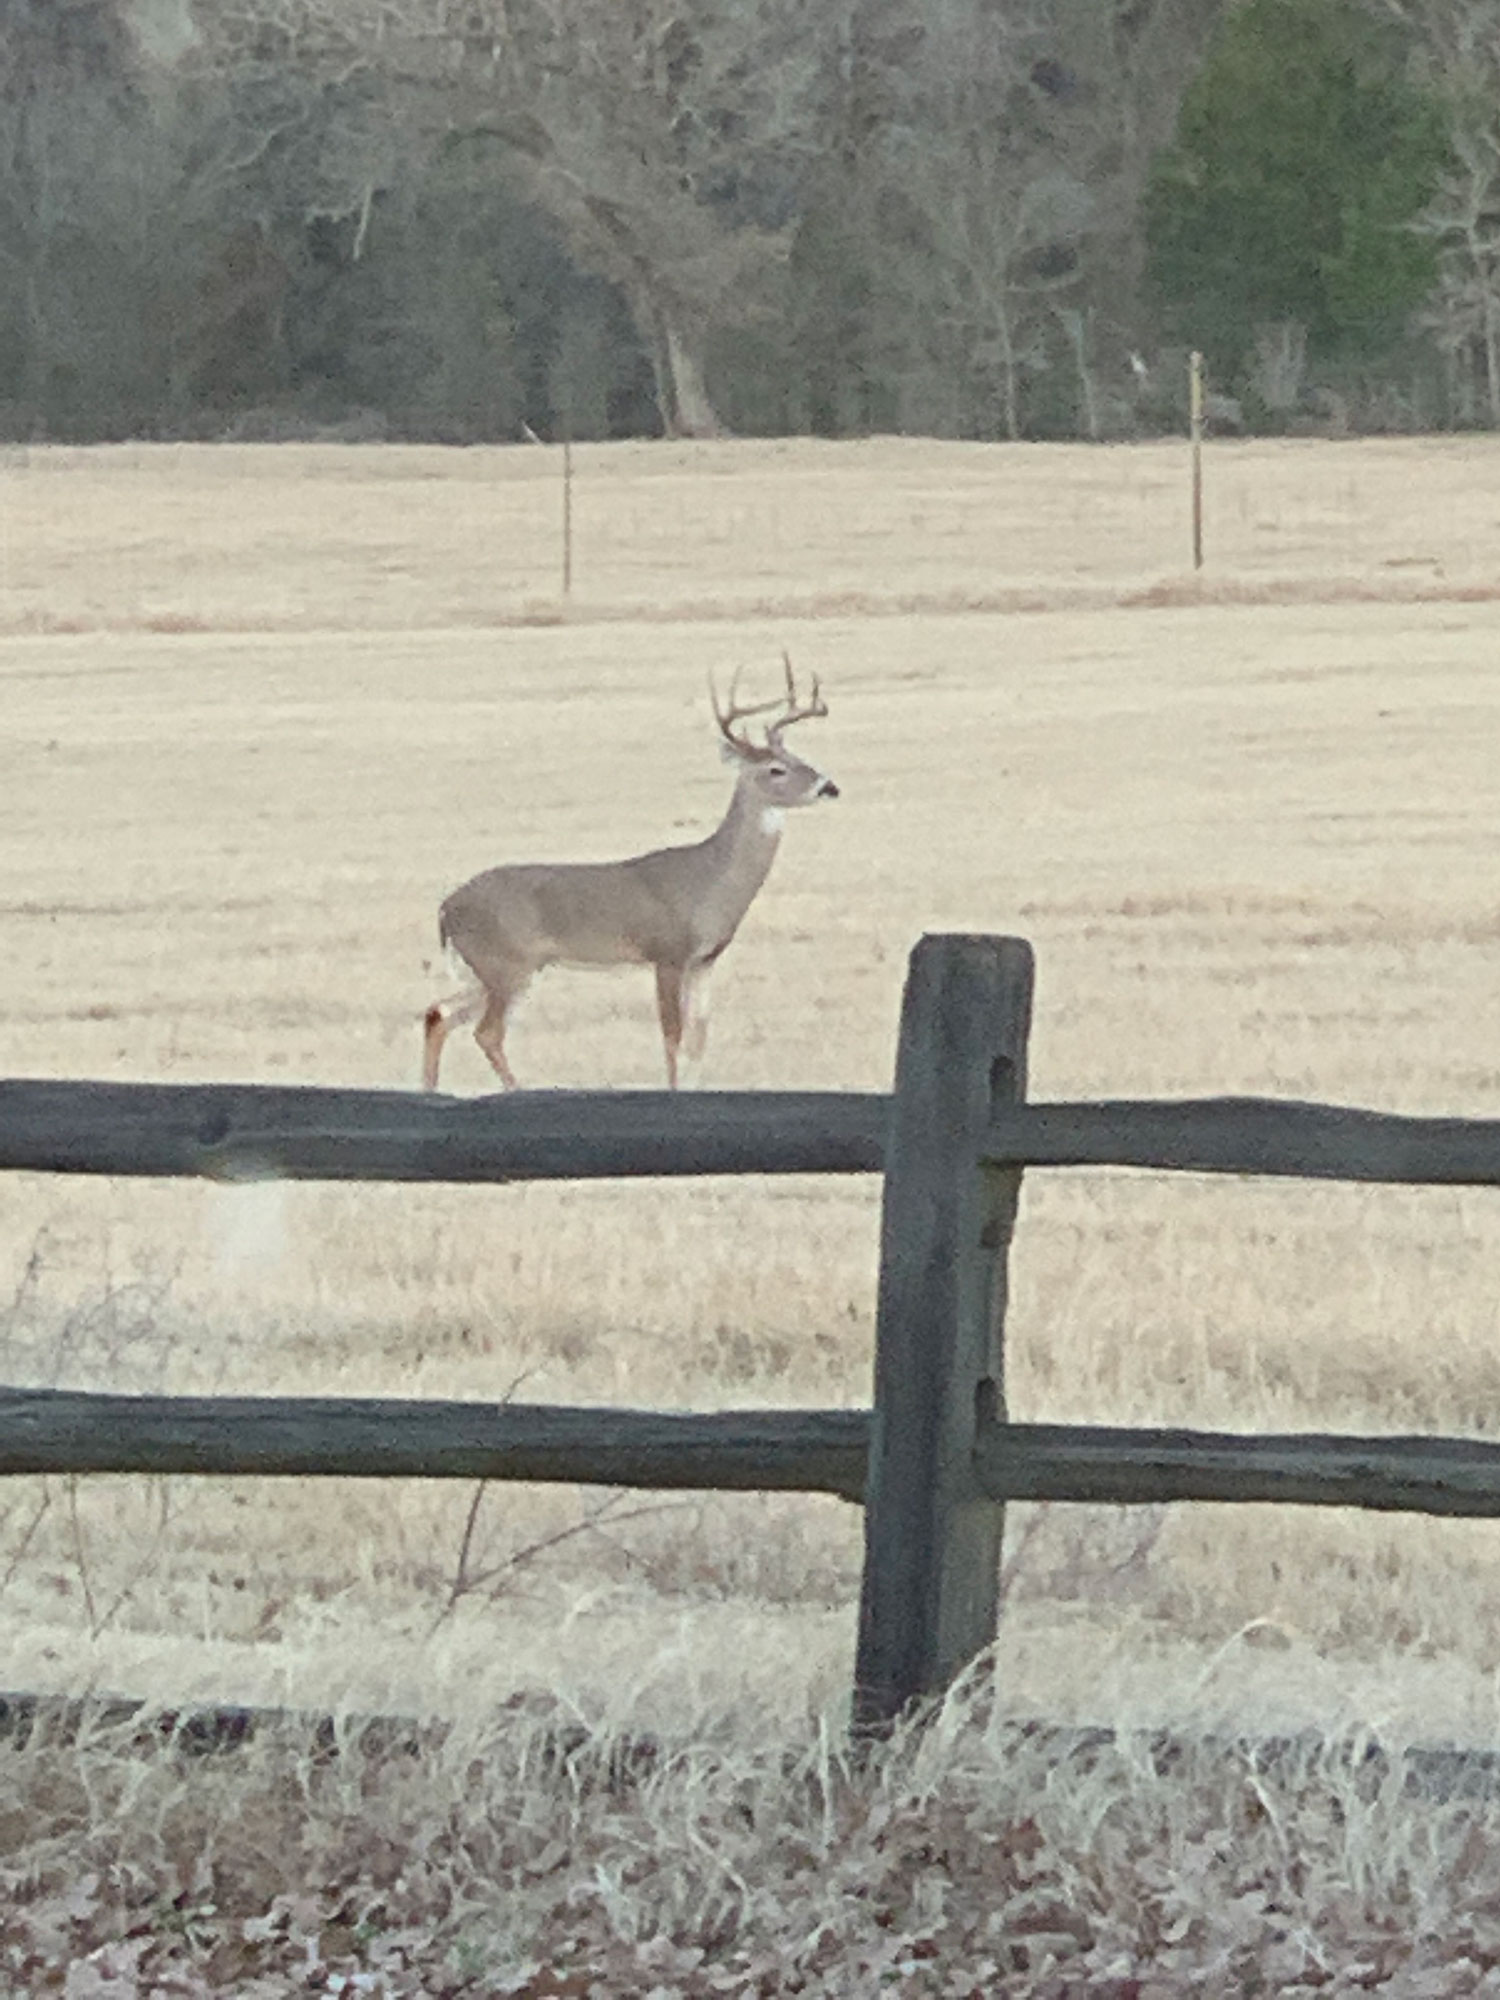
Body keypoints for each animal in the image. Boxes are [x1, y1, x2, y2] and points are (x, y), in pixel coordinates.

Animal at [422, 655, 838, 1092]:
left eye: (803, 759)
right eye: (776, 769)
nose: (830, 787)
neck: (708, 882)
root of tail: (446, 908)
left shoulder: (705, 960)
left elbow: (700, 1037)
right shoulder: (667, 953)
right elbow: (672, 1035)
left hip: (483, 971)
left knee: (438, 1014)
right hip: (507, 964)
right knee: (486, 1032)